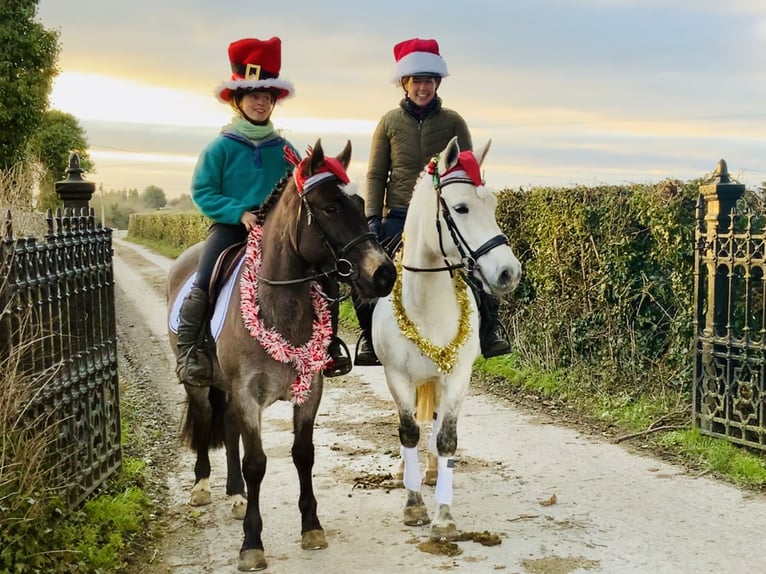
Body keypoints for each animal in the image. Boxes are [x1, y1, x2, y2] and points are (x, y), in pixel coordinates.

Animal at [166, 140, 396, 572]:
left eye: (360, 203)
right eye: (330, 208)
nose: (384, 274)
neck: (279, 304)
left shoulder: (309, 391)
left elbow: (303, 454)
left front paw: (311, 527)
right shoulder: (247, 394)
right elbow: (257, 463)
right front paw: (252, 544)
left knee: (230, 432)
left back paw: (235, 494)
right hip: (201, 385)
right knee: (205, 419)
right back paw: (202, 485)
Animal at [376, 137, 524, 544]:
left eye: (493, 205)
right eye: (461, 207)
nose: (509, 272)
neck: (428, 305)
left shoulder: (457, 376)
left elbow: (445, 438)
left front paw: (444, 515)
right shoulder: (397, 376)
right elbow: (409, 431)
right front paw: (414, 506)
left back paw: (429, 471)